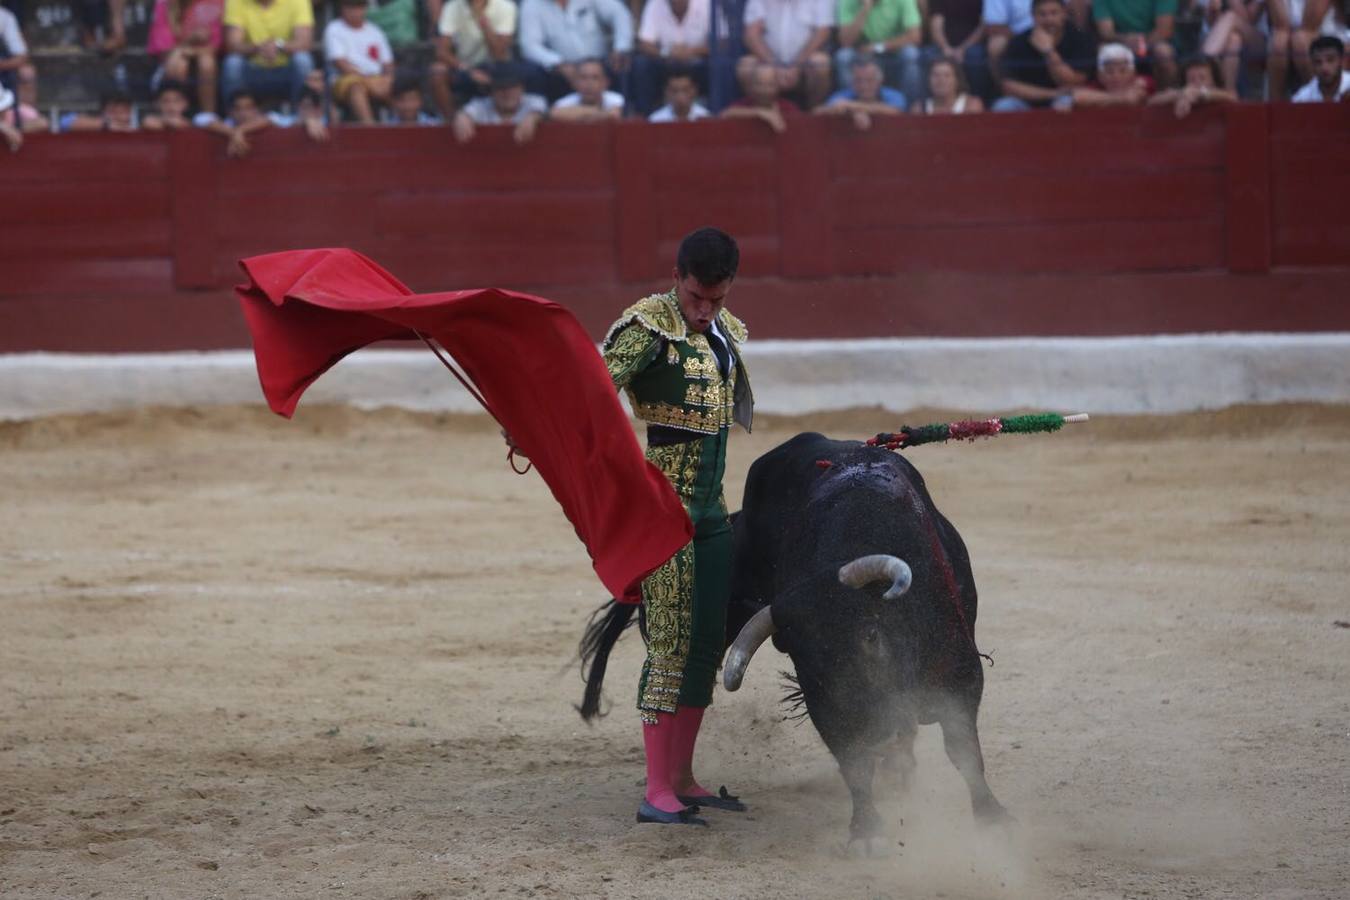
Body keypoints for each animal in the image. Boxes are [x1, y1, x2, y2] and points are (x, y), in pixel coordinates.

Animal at [575, 431, 1009, 847]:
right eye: (802, 657)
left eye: (871, 634)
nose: (870, 723)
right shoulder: (825, 705)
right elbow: (854, 763)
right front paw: (866, 832)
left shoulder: (961, 675)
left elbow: (963, 749)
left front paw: (992, 816)